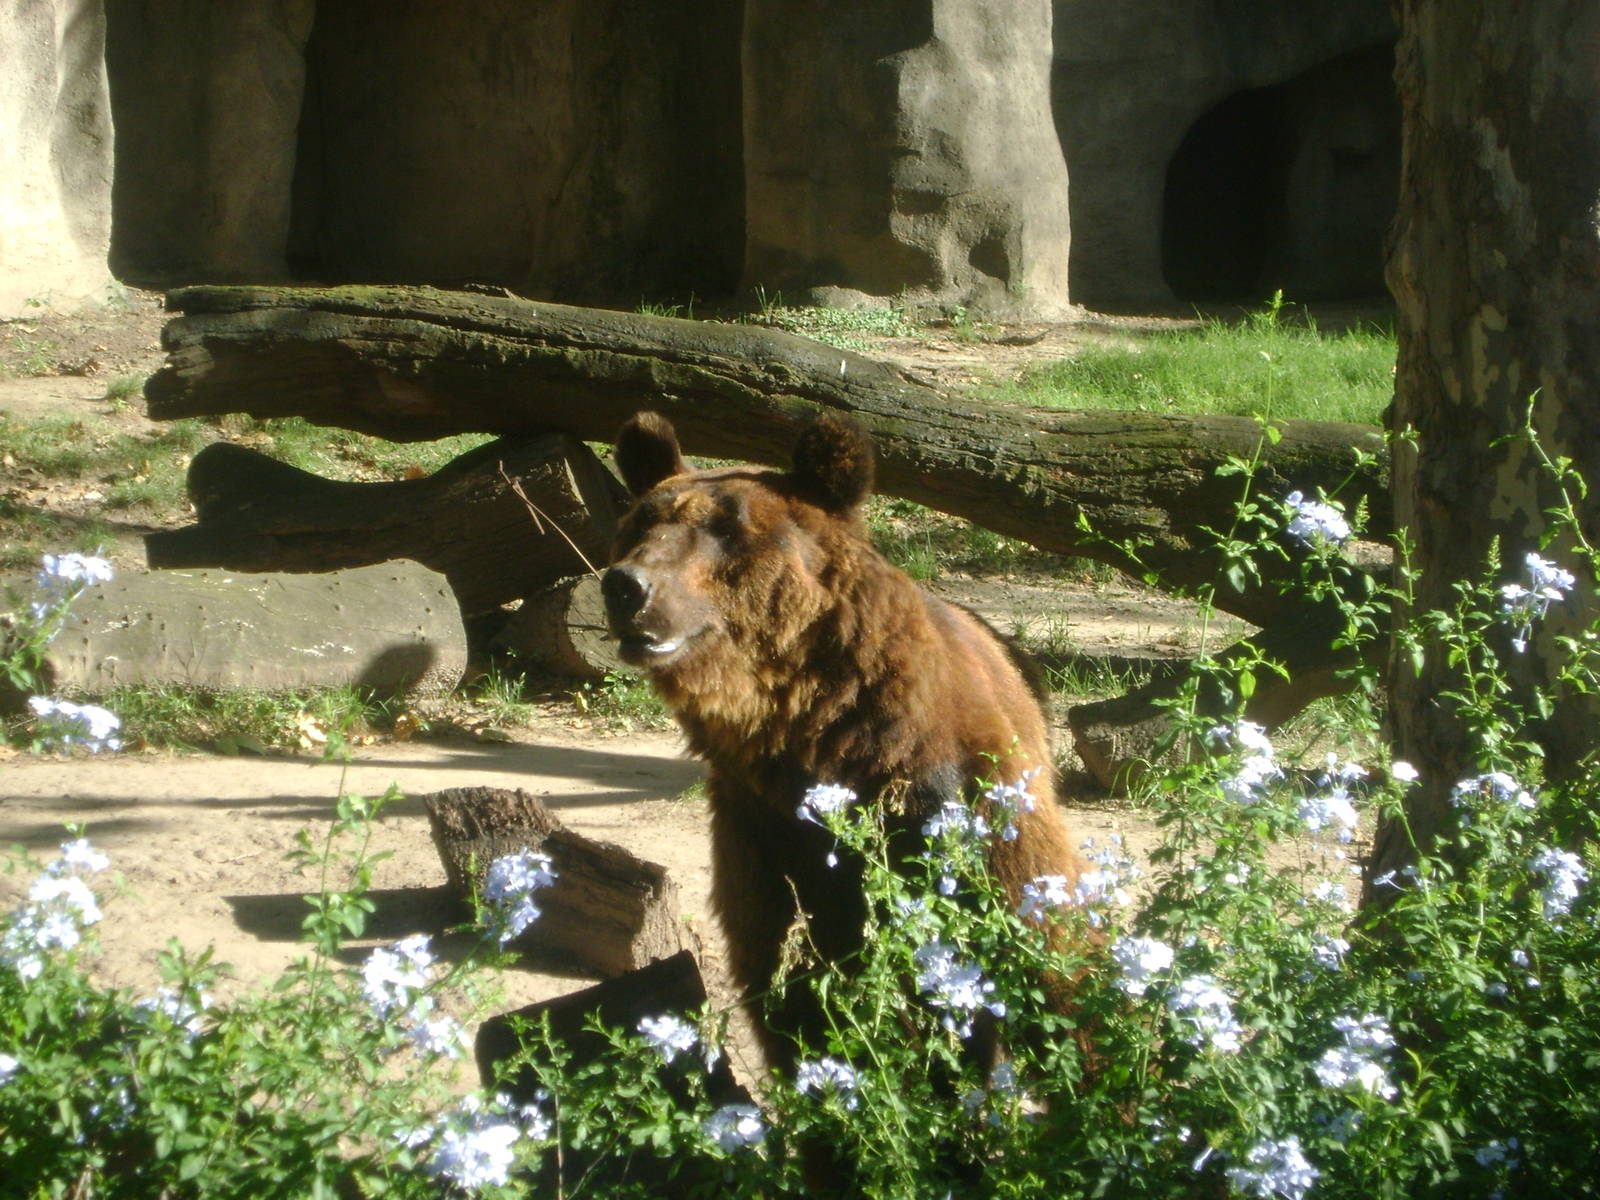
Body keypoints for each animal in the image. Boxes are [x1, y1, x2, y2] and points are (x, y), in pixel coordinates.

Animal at [602, 409, 1090, 1072]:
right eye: (643, 521)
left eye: (728, 528)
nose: (627, 586)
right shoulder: (766, 834)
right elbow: (793, 989)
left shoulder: (959, 794)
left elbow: (1040, 940)